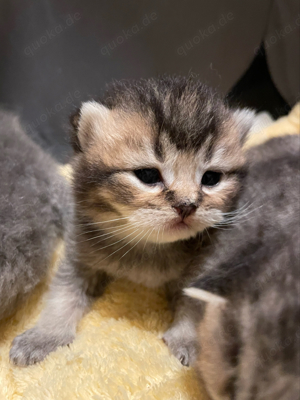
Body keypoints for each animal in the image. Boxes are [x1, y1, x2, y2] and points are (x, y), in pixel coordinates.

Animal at [9, 76, 254, 368]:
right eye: (147, 175)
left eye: (211, 178)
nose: (186, 206)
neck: (149, 246)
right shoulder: (80, 253)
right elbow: (62, 294)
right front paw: (44, 336)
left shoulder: (204, 266)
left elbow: (195, 305)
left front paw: (189, 340)